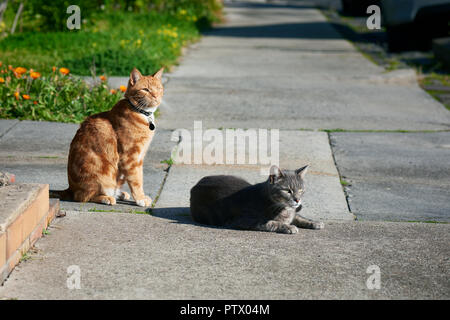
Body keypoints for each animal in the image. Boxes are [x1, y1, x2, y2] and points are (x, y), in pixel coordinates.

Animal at [51, 68, 163, 208]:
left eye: (158, 88)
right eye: (145, 89)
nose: (155, 95)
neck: (142, 114)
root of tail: (70, 188)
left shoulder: (139, 158)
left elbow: (139, 177)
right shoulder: (130, 158)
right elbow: (137, 180)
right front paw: (140, 198)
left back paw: (119, 194)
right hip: (101, 176)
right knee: (83, 197)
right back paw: (107, 198)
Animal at [189, 166, 324, 234]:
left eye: (301, 190)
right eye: (288, 191)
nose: (297, 200)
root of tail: (196, 185)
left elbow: (299, 217)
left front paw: (314, 222)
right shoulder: (241, 220)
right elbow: (270, 223)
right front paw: (288, 227)